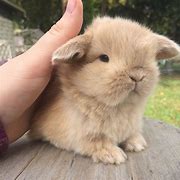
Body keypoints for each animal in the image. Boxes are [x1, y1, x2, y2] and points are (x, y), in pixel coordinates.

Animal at [29, 16, 180, 165]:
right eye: (104, 58)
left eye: (149, 57)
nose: (137, 76)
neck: (120, 106)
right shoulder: (78, 134)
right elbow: (95, 142)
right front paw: (113, 155)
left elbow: (131, 134)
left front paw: (137, 144)